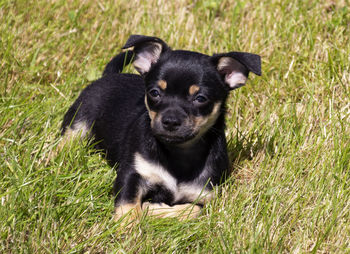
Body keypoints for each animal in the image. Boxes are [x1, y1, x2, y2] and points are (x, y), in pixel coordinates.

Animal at [61, 34, 262, 221]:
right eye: (154, 93)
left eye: (200, 98)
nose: (170, 121)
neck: (179, 153)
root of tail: (109, 76)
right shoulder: (132, 174)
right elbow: (128, 204)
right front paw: (127, 226)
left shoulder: (206, 196)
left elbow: (191, 210)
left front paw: (151, 208)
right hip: (79, 121)